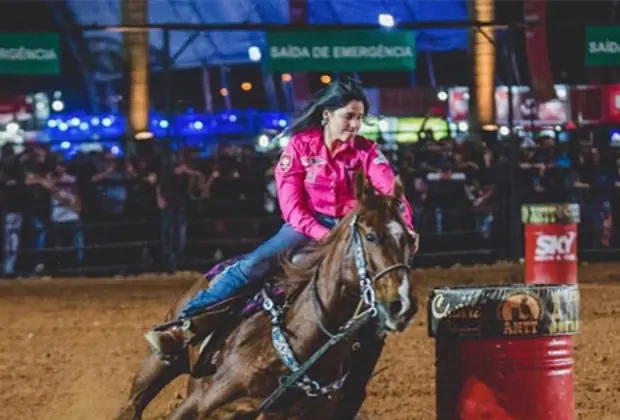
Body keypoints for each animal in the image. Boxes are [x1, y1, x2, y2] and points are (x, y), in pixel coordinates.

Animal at [115, 172, 416, 418]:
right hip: (157, 364)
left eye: (409, 239)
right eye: (371, 236)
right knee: (133, 405)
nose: (402, 305)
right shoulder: (196, 404)